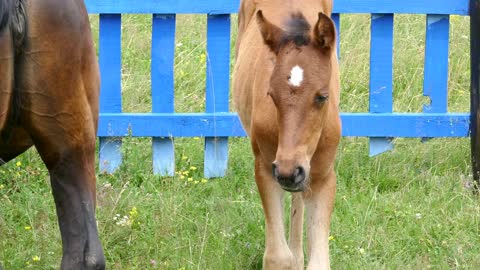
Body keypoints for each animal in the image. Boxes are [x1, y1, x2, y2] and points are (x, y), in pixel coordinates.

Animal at [233, 1, 340, 268]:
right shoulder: (265, 168)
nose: (289, 172)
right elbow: (277, 256)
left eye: (322, 96)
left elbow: (319, 262)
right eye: (271, 95)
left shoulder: (324, 176)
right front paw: (287, 259)